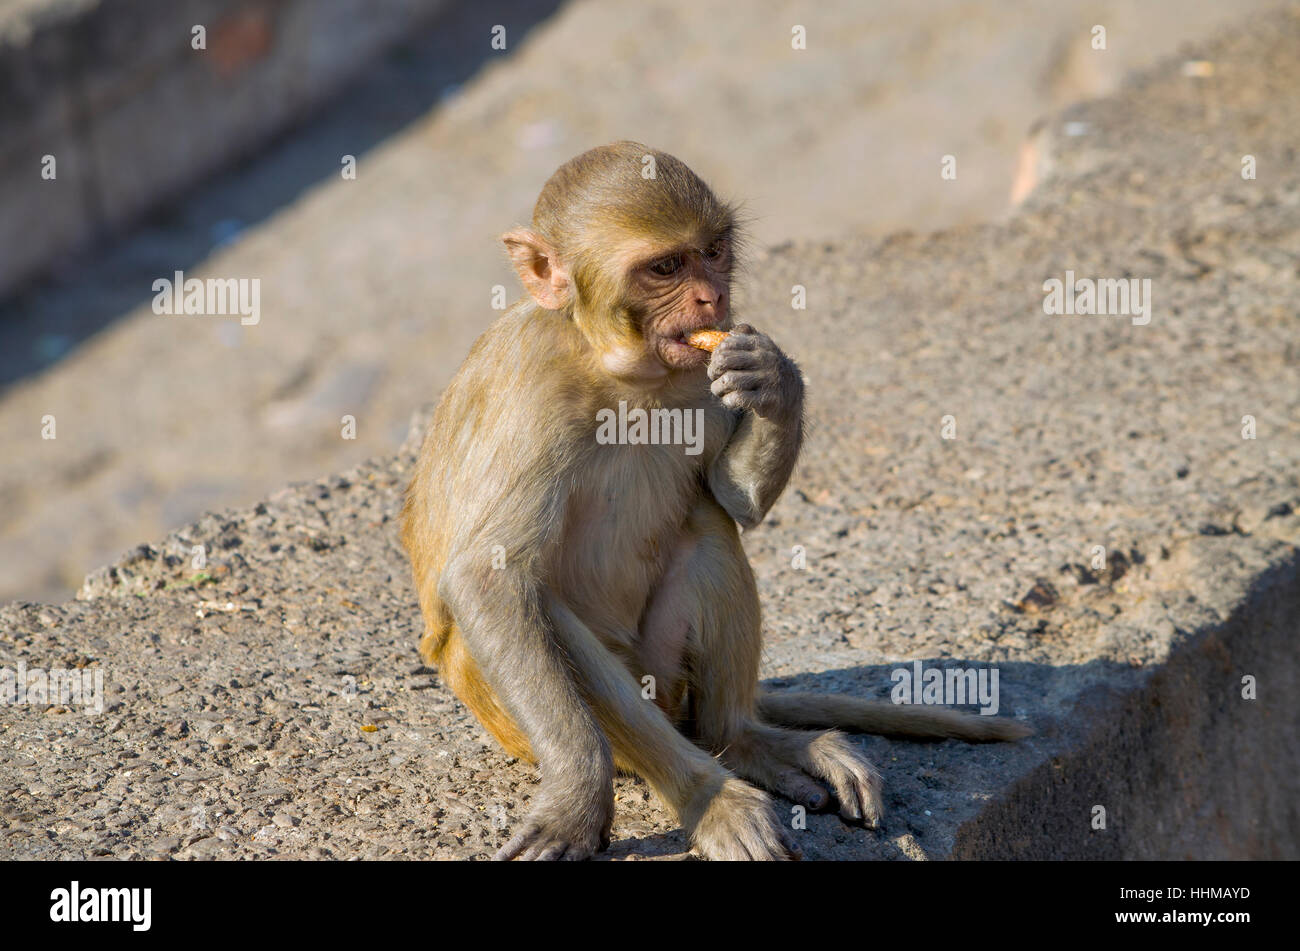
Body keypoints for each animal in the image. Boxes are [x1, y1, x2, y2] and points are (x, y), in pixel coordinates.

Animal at [401, 142, 1030, 861]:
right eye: (665, 267)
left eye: (713, 250)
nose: (713, 296)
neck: (619, 369)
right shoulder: (534, 387)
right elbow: (490, 575)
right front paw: (577, 798)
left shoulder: (706, 369)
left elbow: (734, 500)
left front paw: (776, 379)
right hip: (513, 712)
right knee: (542, 605)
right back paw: (709, 795)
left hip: (670, 678)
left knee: (706, 527)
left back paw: (748, 740)